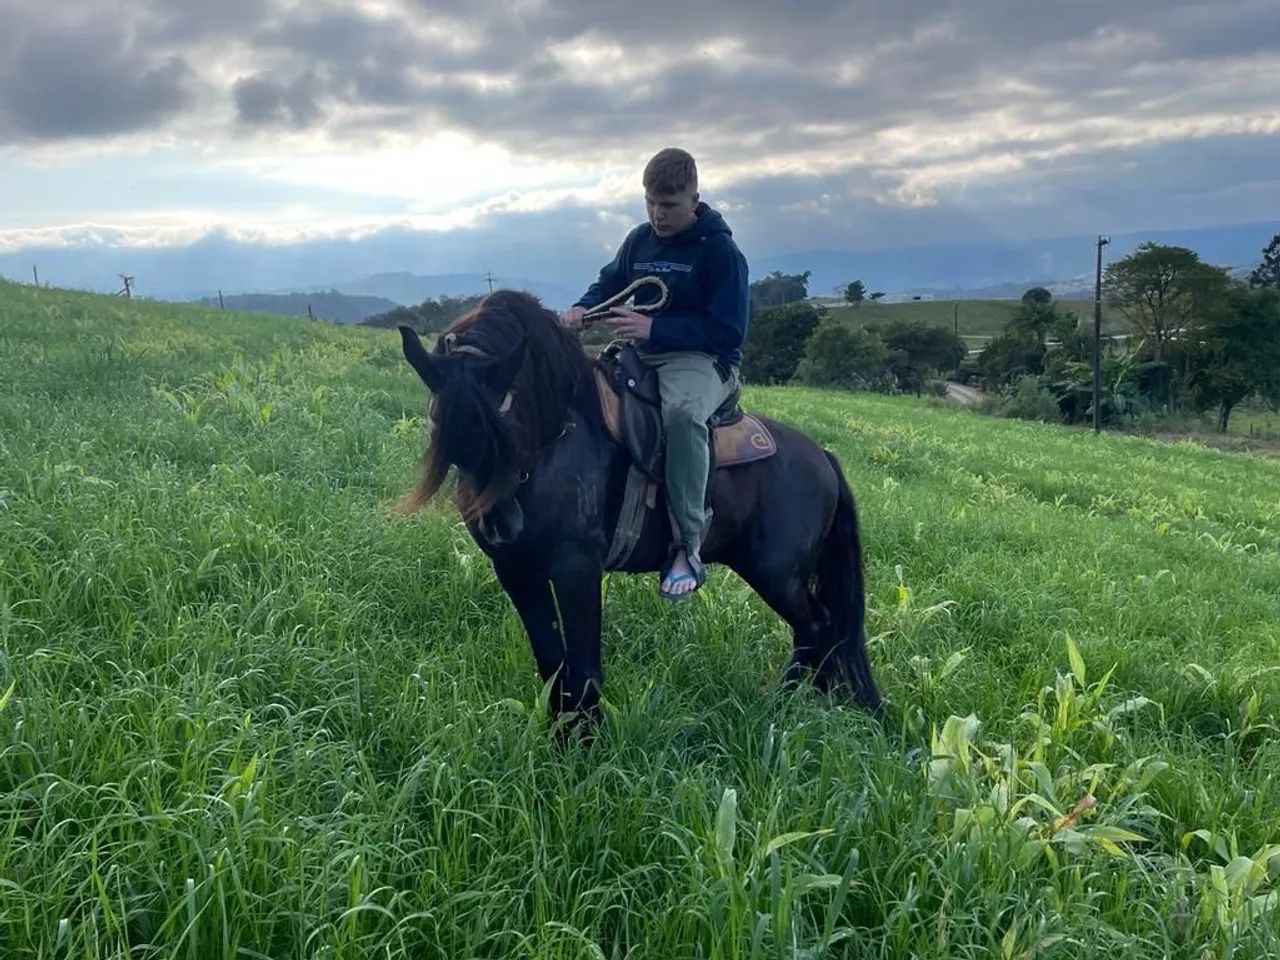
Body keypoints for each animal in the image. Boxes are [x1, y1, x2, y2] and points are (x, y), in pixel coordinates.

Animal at [393, 288, 882, 733]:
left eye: (507, 424)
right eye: (442, 432)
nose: (502, 526)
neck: (556, 442)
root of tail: (823, 456)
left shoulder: (576, 569)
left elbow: (584, 667)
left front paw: (583, 746)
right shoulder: (516, 570)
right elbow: (552, 662)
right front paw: (558, 735)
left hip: (776, 573)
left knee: (817, 627)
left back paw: (780, 707)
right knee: (819, 633)